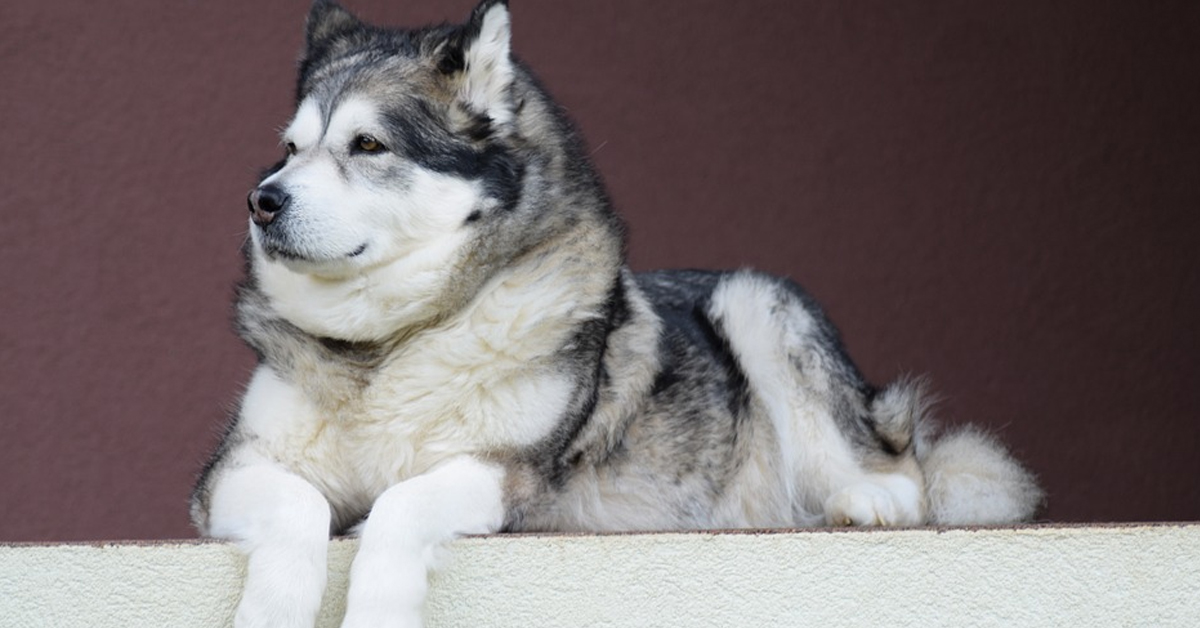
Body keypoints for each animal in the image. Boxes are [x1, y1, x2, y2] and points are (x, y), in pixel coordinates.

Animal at [189, 2, 1041, 624]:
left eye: (368, 145)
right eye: (291, 150)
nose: (262, 201)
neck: (392, 343)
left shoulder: (506, 474)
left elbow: (398, 506)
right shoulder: (231, 473)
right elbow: (299, 505)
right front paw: (273, 610)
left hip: (756, 298)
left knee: (903, 471)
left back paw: (867, 497)